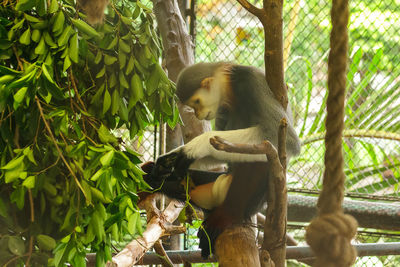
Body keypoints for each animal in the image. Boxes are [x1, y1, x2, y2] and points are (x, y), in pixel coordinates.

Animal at [145, 61, 300, 258]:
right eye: (193, 106)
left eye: (196, 102)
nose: (197, 114)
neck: (231, 90)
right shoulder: (221, 109)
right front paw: (171, 159)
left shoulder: (252, 81)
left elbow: (285, 139)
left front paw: (194, 147)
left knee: (263, 155)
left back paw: (227, 213)